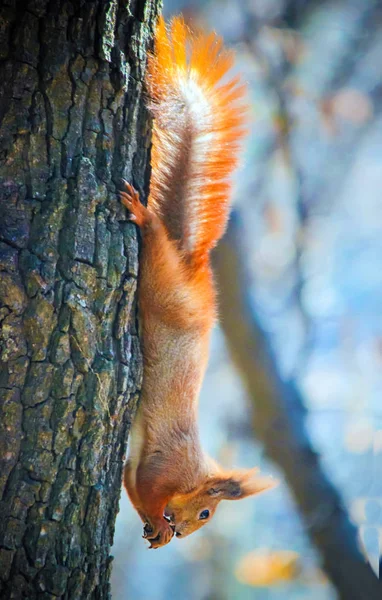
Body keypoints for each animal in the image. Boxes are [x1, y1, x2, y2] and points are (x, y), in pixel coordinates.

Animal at [120, 15, 278, 548]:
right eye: (207, 513)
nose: (186, 532)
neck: (192, 474)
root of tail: (189, 263)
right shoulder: (161, 468)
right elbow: (148, 492)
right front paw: (160, 525)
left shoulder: (136, 469)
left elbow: (131, 487)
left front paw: (156, 532)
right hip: (160, 286)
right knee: (153, 247)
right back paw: (143, 216)